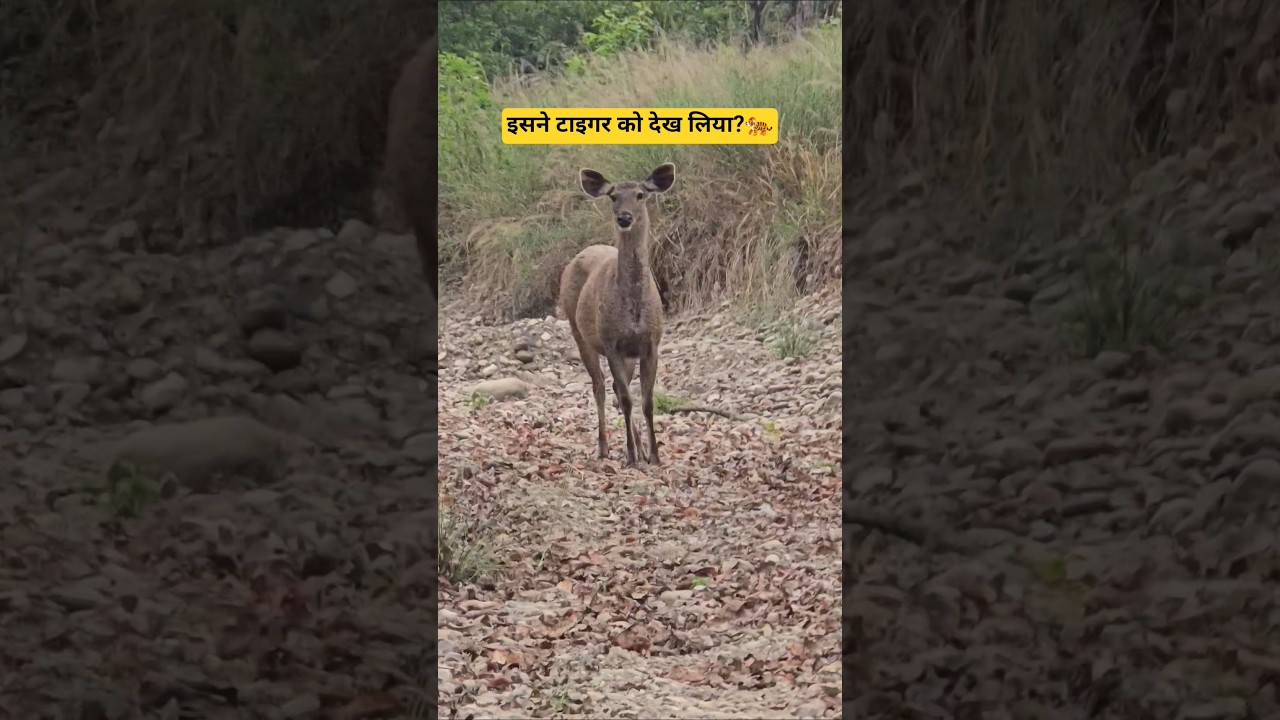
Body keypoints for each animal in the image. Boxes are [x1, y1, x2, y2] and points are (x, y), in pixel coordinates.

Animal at [558, 163, 675, 467]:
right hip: (578, 330)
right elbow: (626, 399)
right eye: (612, 196)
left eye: (641, 195)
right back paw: (604, 447)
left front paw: (654, 455)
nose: (624, 217)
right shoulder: (611, 343)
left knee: (614, 388)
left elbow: (646, 401)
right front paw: (631, 456)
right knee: (599, 386)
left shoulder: (650, 343)